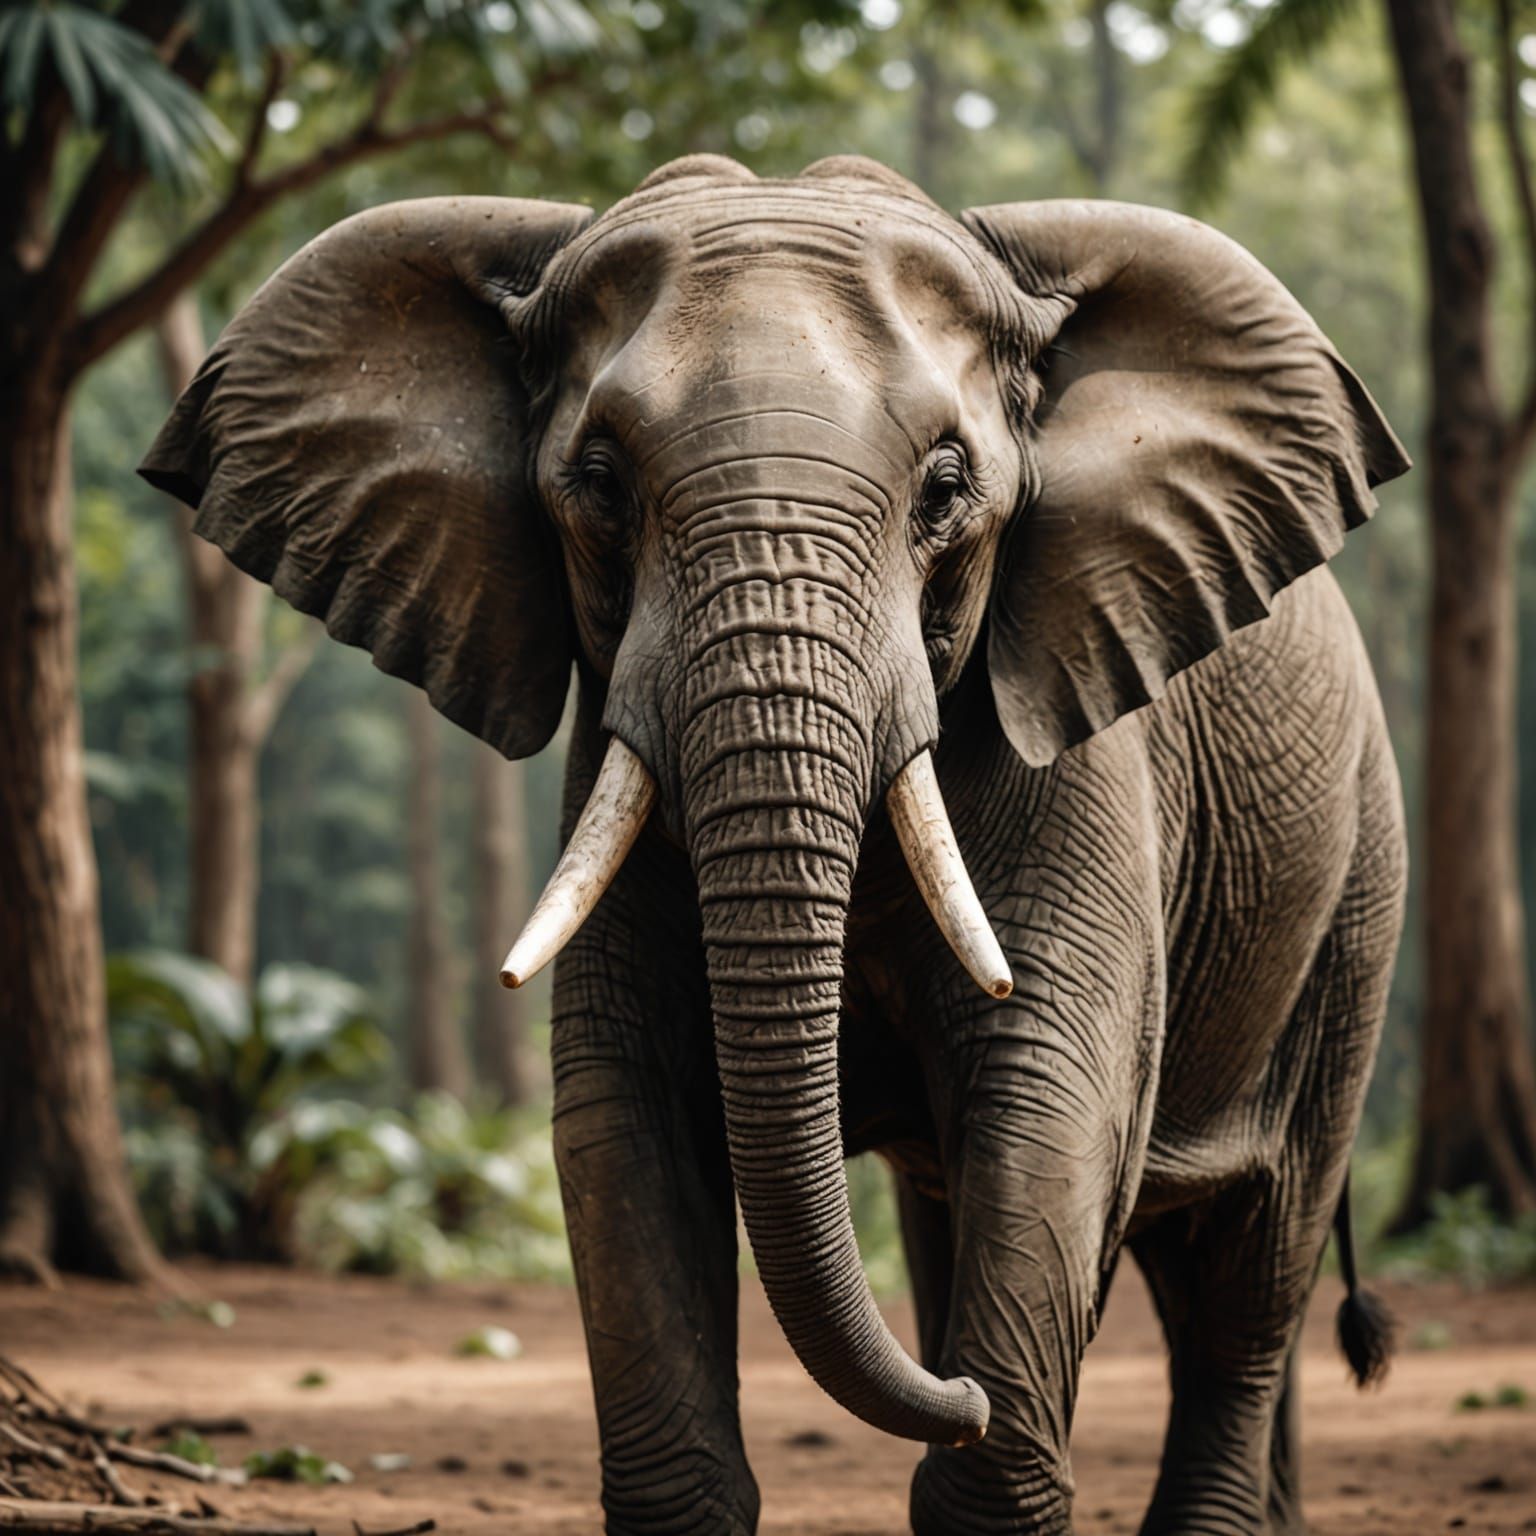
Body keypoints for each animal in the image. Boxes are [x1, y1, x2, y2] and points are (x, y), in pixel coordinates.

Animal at [143, 154, 1409, 1535]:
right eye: (598, 483)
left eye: (947, 489)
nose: (964, 1396)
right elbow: (624, 1120)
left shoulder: (1083, 760)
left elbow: (1050, 1105)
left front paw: (986, 1428)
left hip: (1358, 888)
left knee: (1254, 1267)